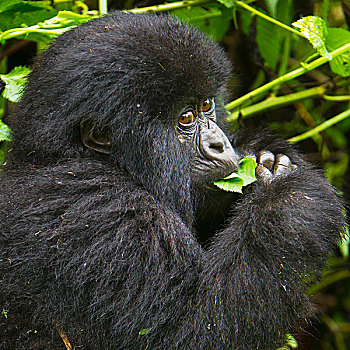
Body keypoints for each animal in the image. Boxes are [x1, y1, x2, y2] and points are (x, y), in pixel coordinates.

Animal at [0, 10, 346, 350]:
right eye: (186, 118)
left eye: (207, 105)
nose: (220, 144)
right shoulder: (104, 211)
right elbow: (193, 328)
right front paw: (291, 200)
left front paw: (265, 155)